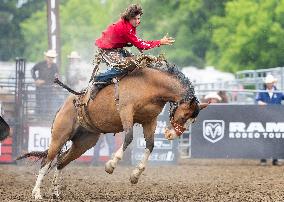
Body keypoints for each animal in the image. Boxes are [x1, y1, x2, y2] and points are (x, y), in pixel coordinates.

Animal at [18, 56, 209, 199]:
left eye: (193, 121)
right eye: (184, 116)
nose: (171, 135)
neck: (150, 85)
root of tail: (64, 105)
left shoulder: (150, 120)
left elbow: (150, 145)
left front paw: (135, 175)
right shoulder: (126, 112)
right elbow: (129, 137)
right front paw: (111, 165)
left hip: (84, 143)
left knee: (60, 162)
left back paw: (56, 193)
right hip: (59, 136)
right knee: (46, 162)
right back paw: (37, 193)